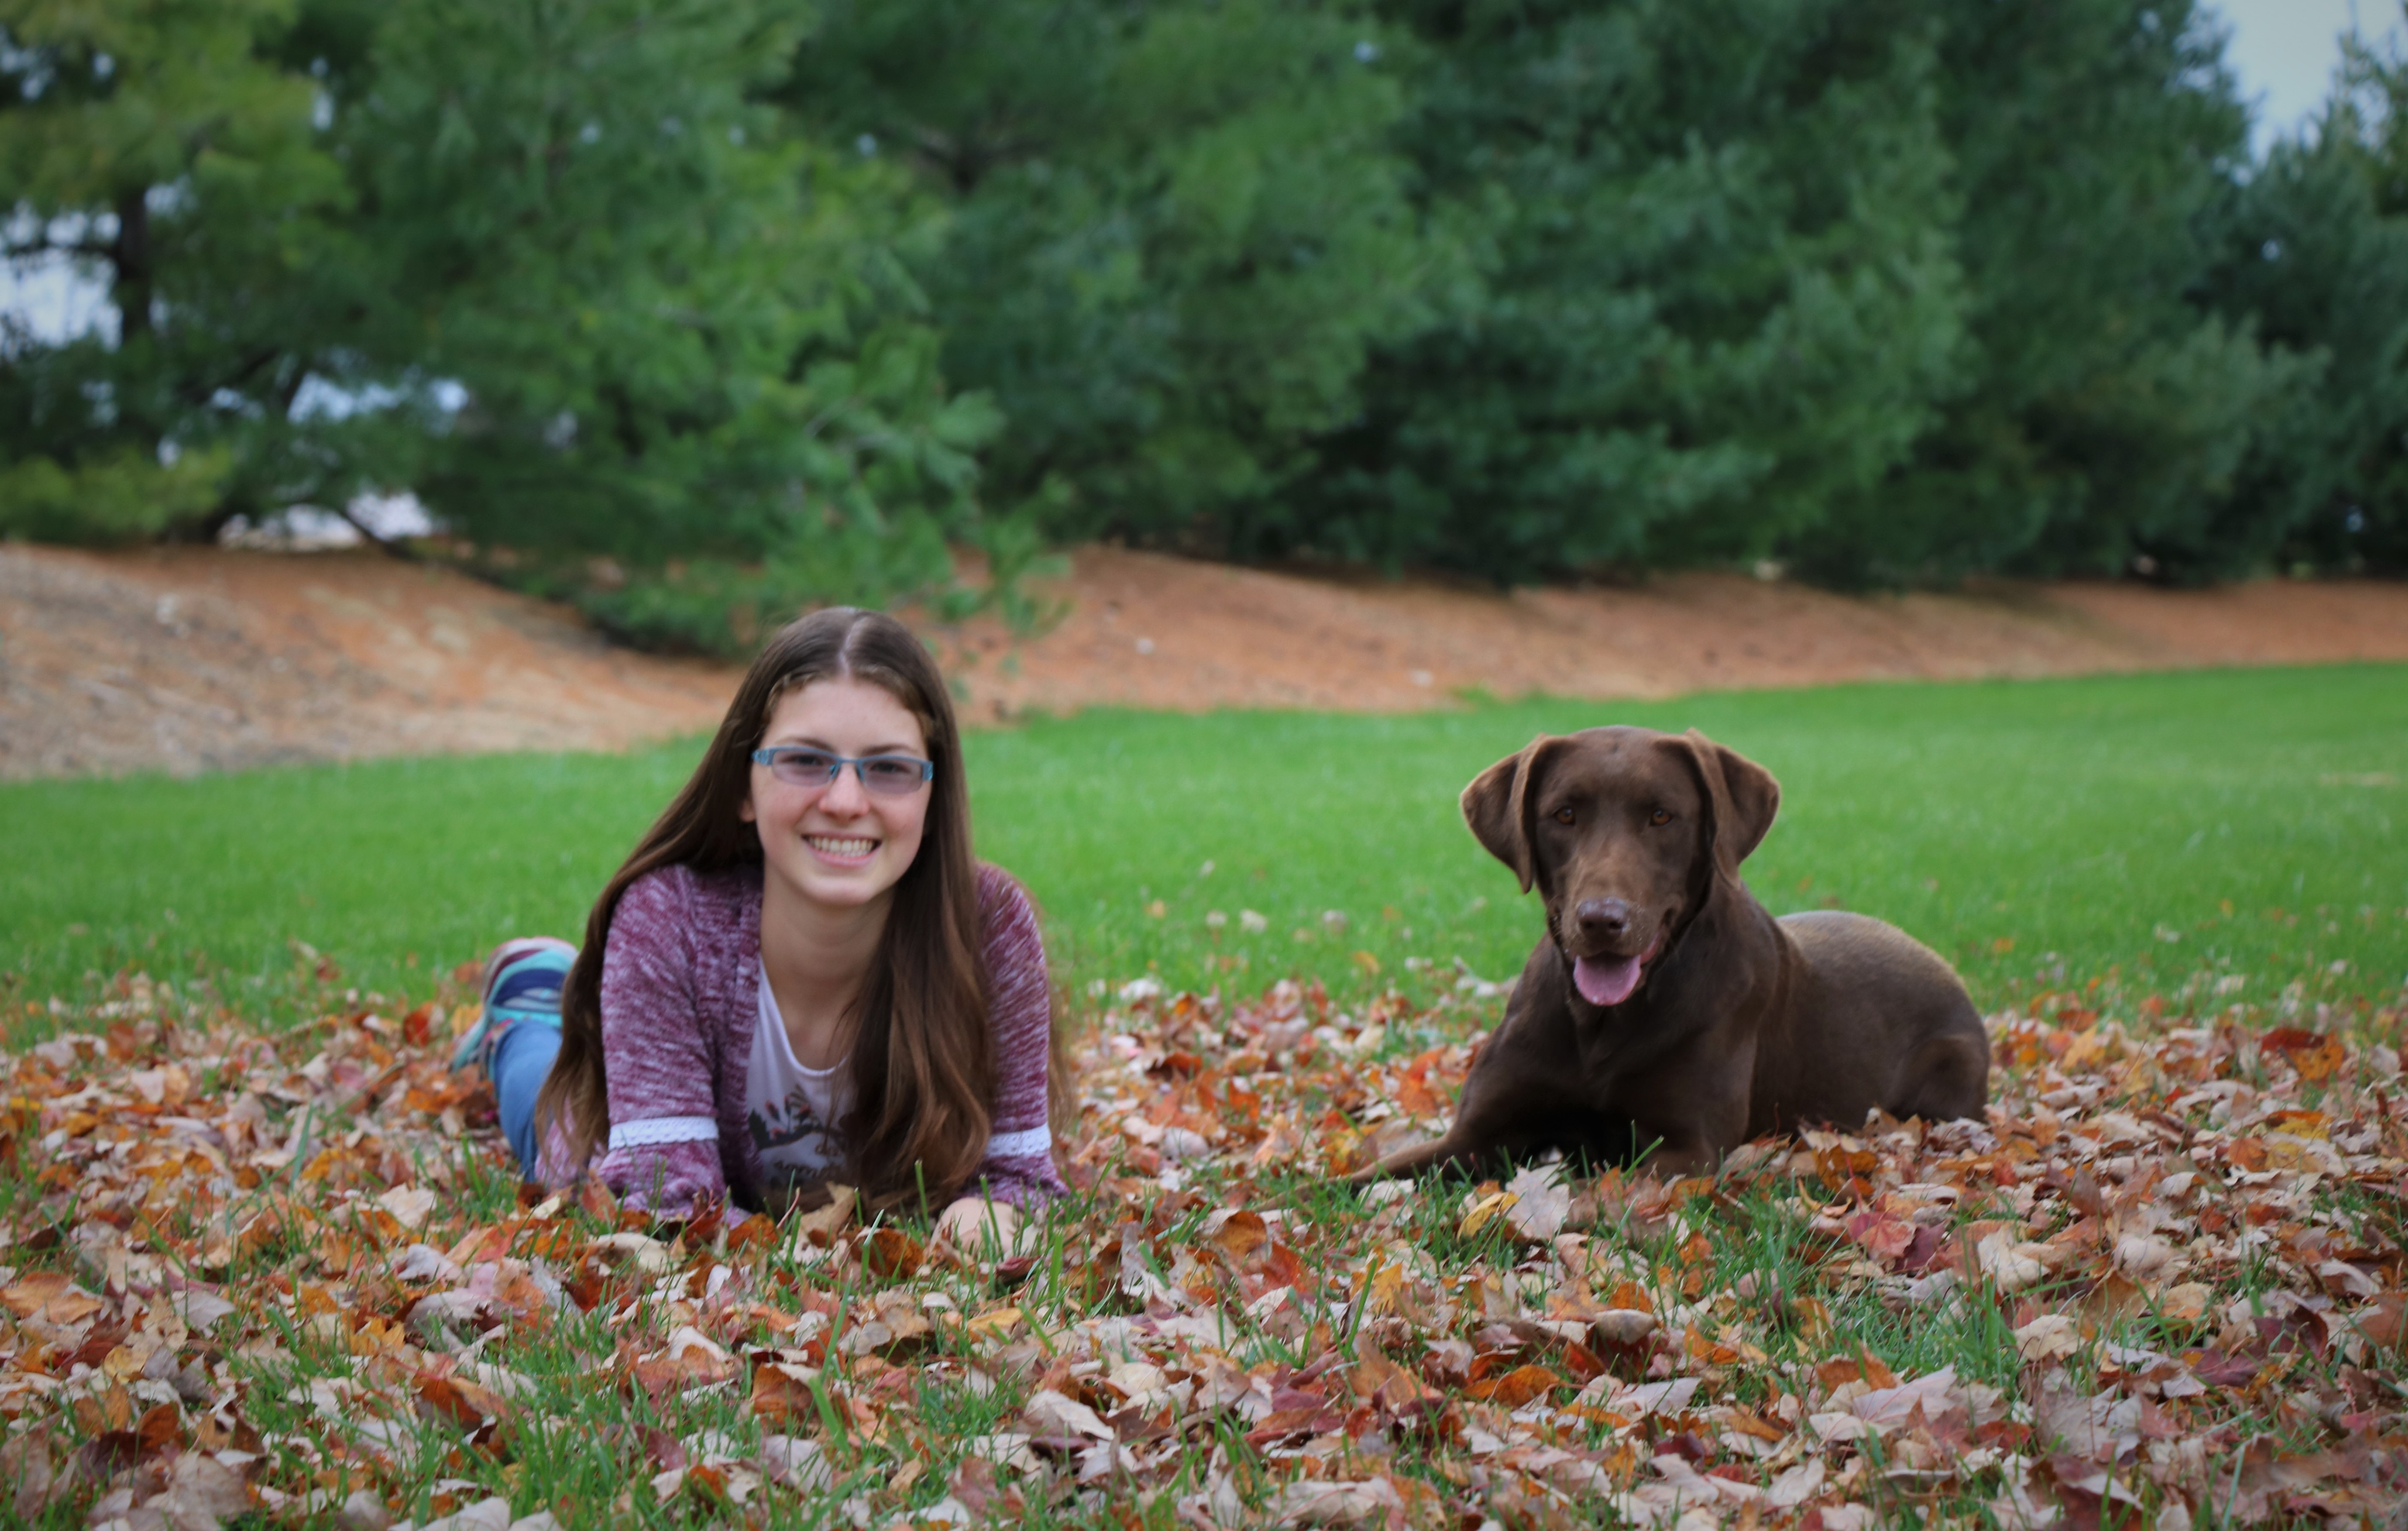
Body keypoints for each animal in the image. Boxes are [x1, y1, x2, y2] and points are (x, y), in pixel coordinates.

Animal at [1358, 722, 1993, 1179]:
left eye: (1661, 815)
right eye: (1564, 814)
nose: (1601, 920)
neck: (1599, 1025)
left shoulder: (1688, 1147)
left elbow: (1598, 1194)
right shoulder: (1474, 1137)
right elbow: (1359, 1180)